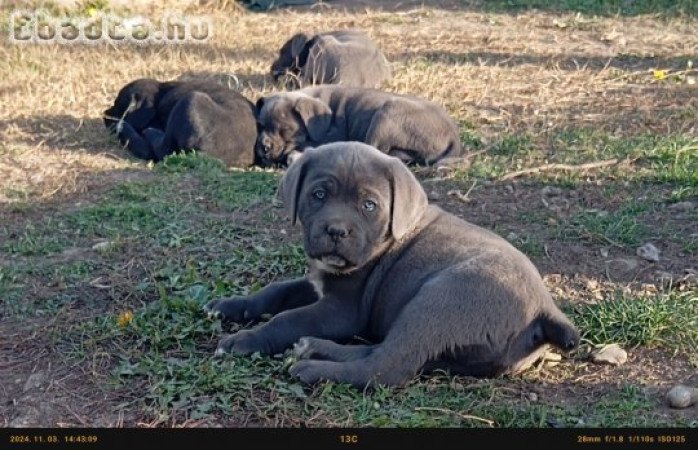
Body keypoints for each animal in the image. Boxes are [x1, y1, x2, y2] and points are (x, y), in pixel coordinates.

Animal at [201, 142, 576, 388]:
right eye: (318, 195)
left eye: (369, 205)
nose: (335, 231)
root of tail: (545, 308)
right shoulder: (320, 282)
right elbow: (276, 291)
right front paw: (229, 305)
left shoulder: (343, 310)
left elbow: (287, 318)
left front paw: (245, 339)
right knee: (386, 352)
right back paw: (315, 348)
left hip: (439, 299)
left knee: (387, 367)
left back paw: (313, 367)